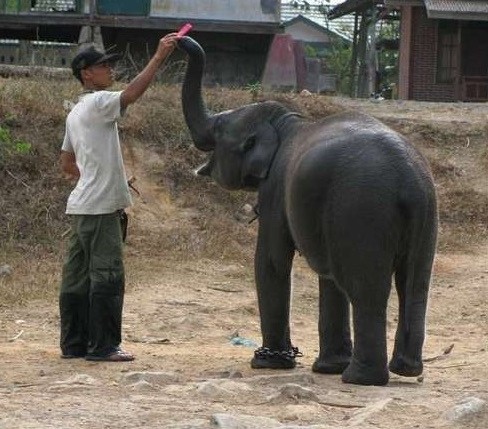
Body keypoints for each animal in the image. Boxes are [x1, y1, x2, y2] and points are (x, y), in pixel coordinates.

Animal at [176, 36, 438, 384]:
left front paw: (268, 363)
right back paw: (405, 369)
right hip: (425, 213)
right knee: (414, 283)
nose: (179, 39)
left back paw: (360, 378)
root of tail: (407, 175)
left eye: (218, 129)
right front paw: (326, 367)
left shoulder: (276, 191)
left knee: (365, 289)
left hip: (361, 211)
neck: (286, 121)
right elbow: (327, 276)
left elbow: (271, 261)